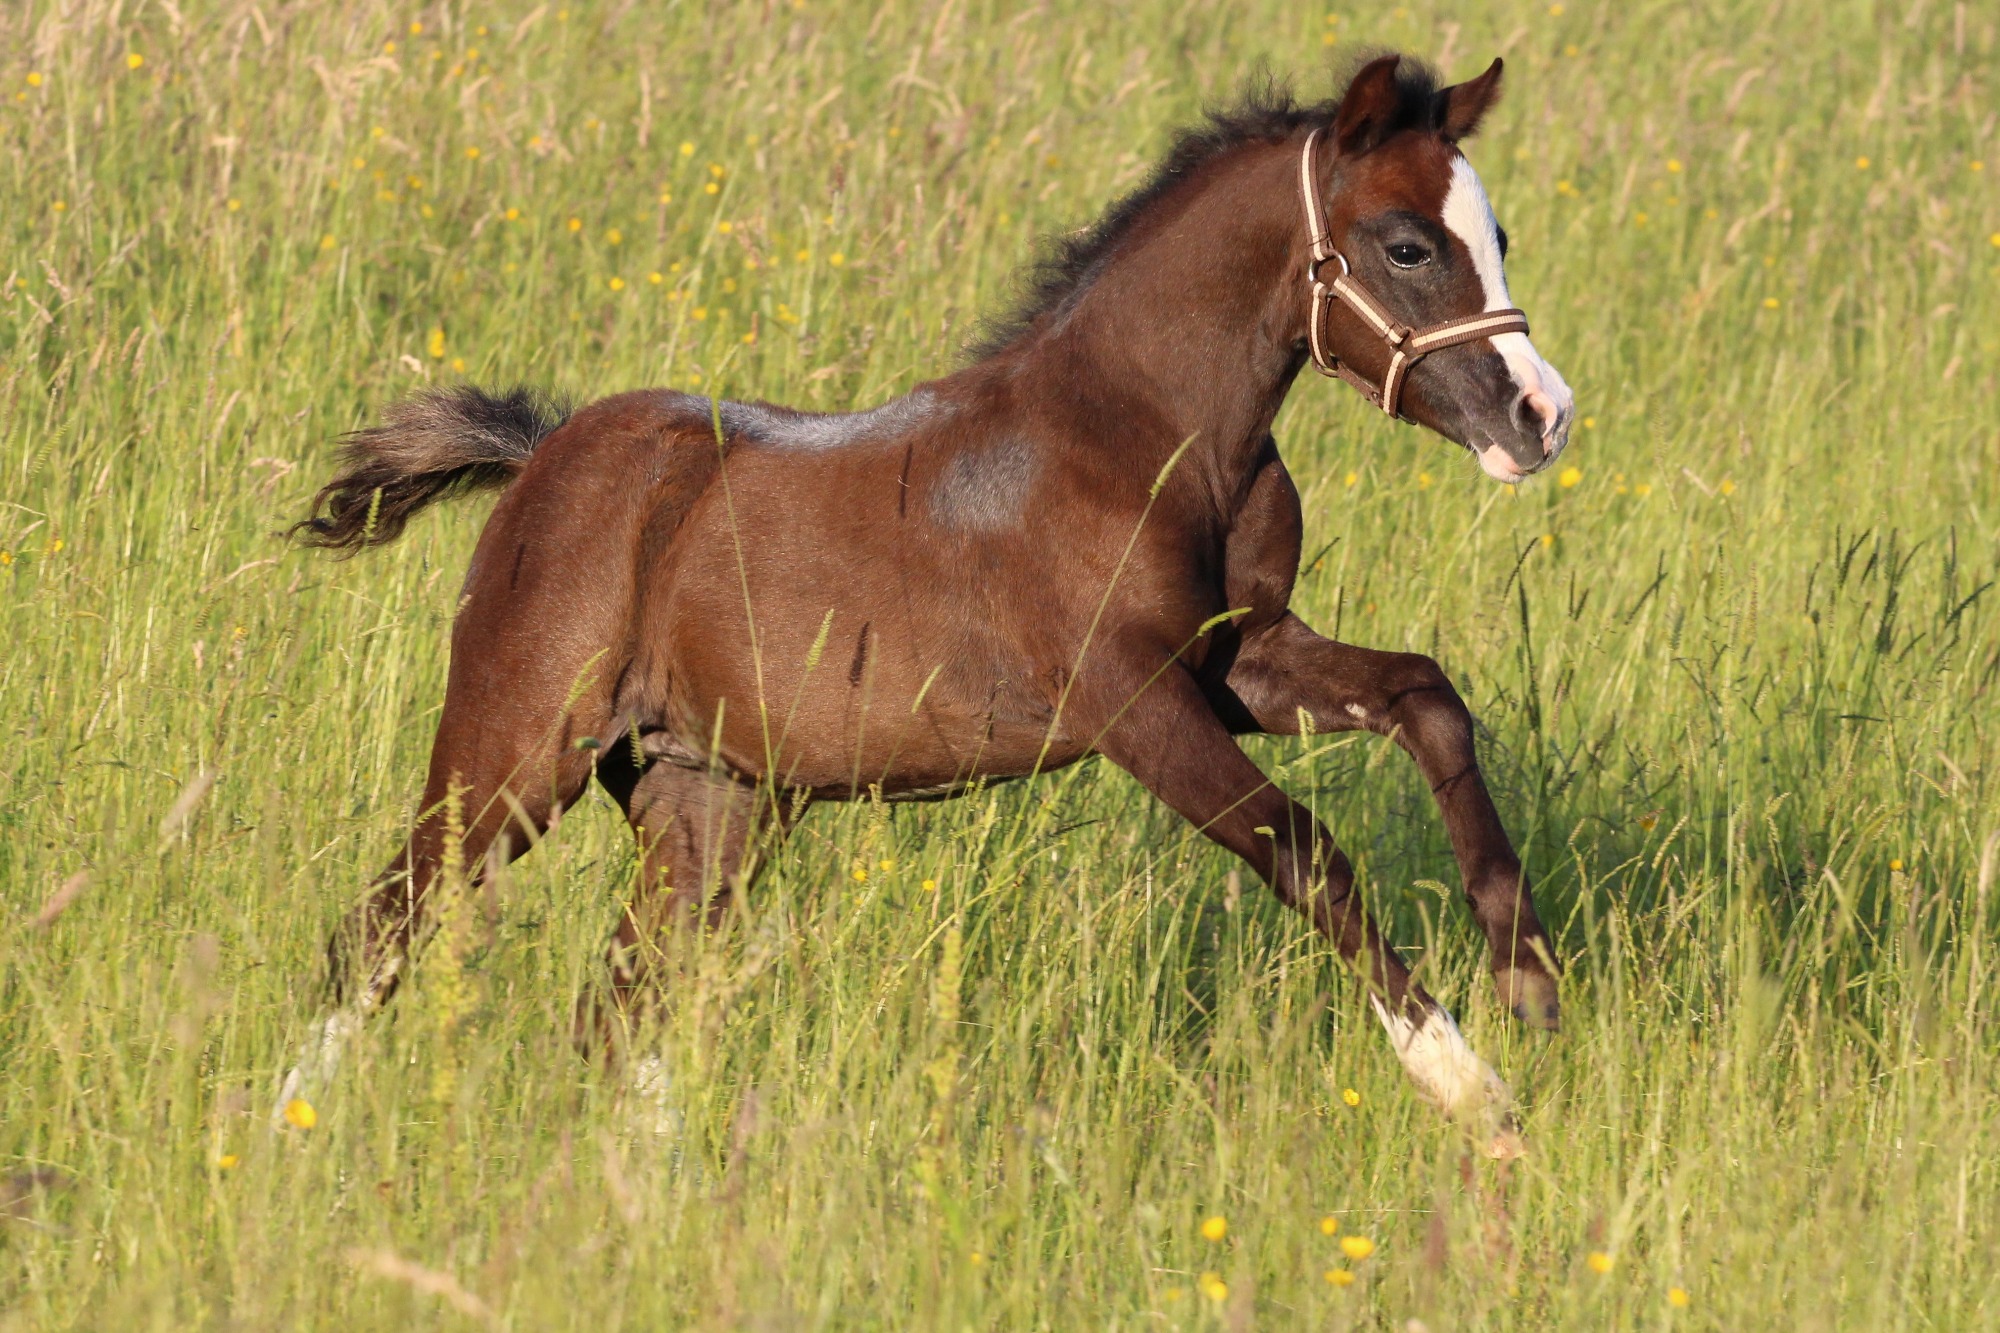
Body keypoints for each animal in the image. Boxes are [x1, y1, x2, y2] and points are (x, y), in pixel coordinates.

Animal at [281, 54, 1574, 1154]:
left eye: (1500, 237)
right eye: (1404, 245)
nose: (1539, 415)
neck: (1142, 434)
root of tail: (540, 455)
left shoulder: (1240, 659)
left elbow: (1426, 697)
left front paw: (1530, 984)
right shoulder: (1130, 699)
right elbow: (1304, 847)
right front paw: (1470, 1088)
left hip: (707, 797)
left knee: (617, 1012)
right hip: (512, 754)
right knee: (378, 938)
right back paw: (284, 1138)